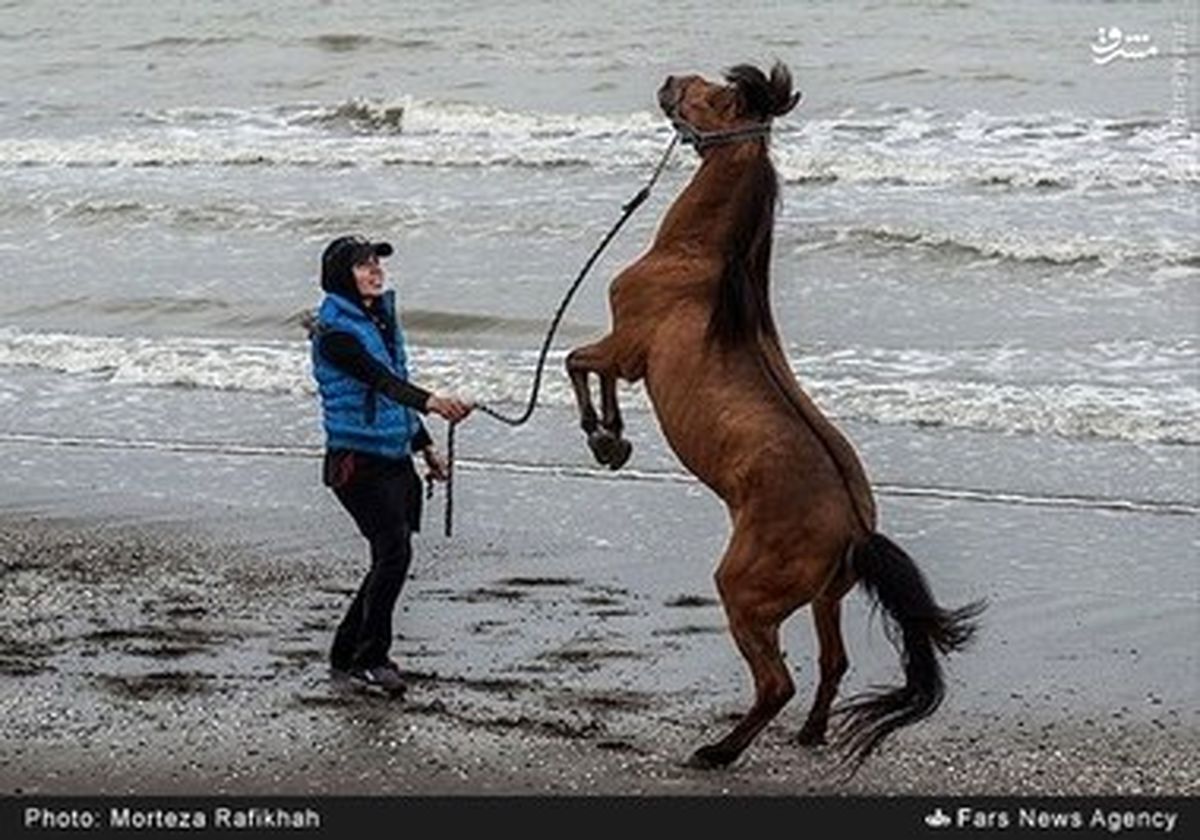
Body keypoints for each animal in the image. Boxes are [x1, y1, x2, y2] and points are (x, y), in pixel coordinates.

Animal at [566, 60, 979, 768]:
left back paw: (718, 751)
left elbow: (577, 364)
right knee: (833, 663)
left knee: (777, 682)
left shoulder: (624, 348)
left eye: (713, 93)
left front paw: (604, 436)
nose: (671, 78)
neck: (697, 260)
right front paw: (613, 439)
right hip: (824, 599)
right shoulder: (626, 355)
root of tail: (855, 529)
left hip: (745, 595)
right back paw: (810, 734)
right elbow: (590, 373)